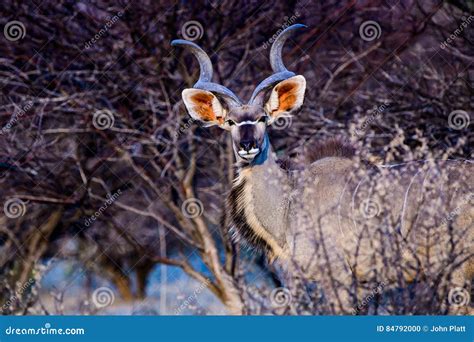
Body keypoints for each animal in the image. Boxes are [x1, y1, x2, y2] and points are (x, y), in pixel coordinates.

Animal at [172, 23, 472, 312]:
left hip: (457, 272)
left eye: (262, 119)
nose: (248, 146)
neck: (289, 198)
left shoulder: (337, 277)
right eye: (231, 122)